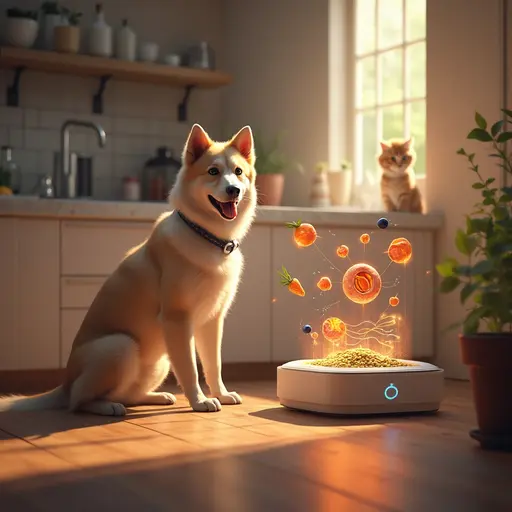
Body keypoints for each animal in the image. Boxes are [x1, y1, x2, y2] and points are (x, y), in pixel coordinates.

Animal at [0, 124, 256, 416]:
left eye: (238, 172)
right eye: (213, 172)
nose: (234, 190)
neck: (206, 236)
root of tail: (64, 384)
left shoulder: (212, 322)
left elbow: (214, 364)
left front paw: (221, 394)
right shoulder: (177, 320)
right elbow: (190, 368)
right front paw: (199, 401)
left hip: (160, 361)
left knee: (128, 395)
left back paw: (155, 396)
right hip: (120, 346)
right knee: (78, 401)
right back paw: (106, 407)